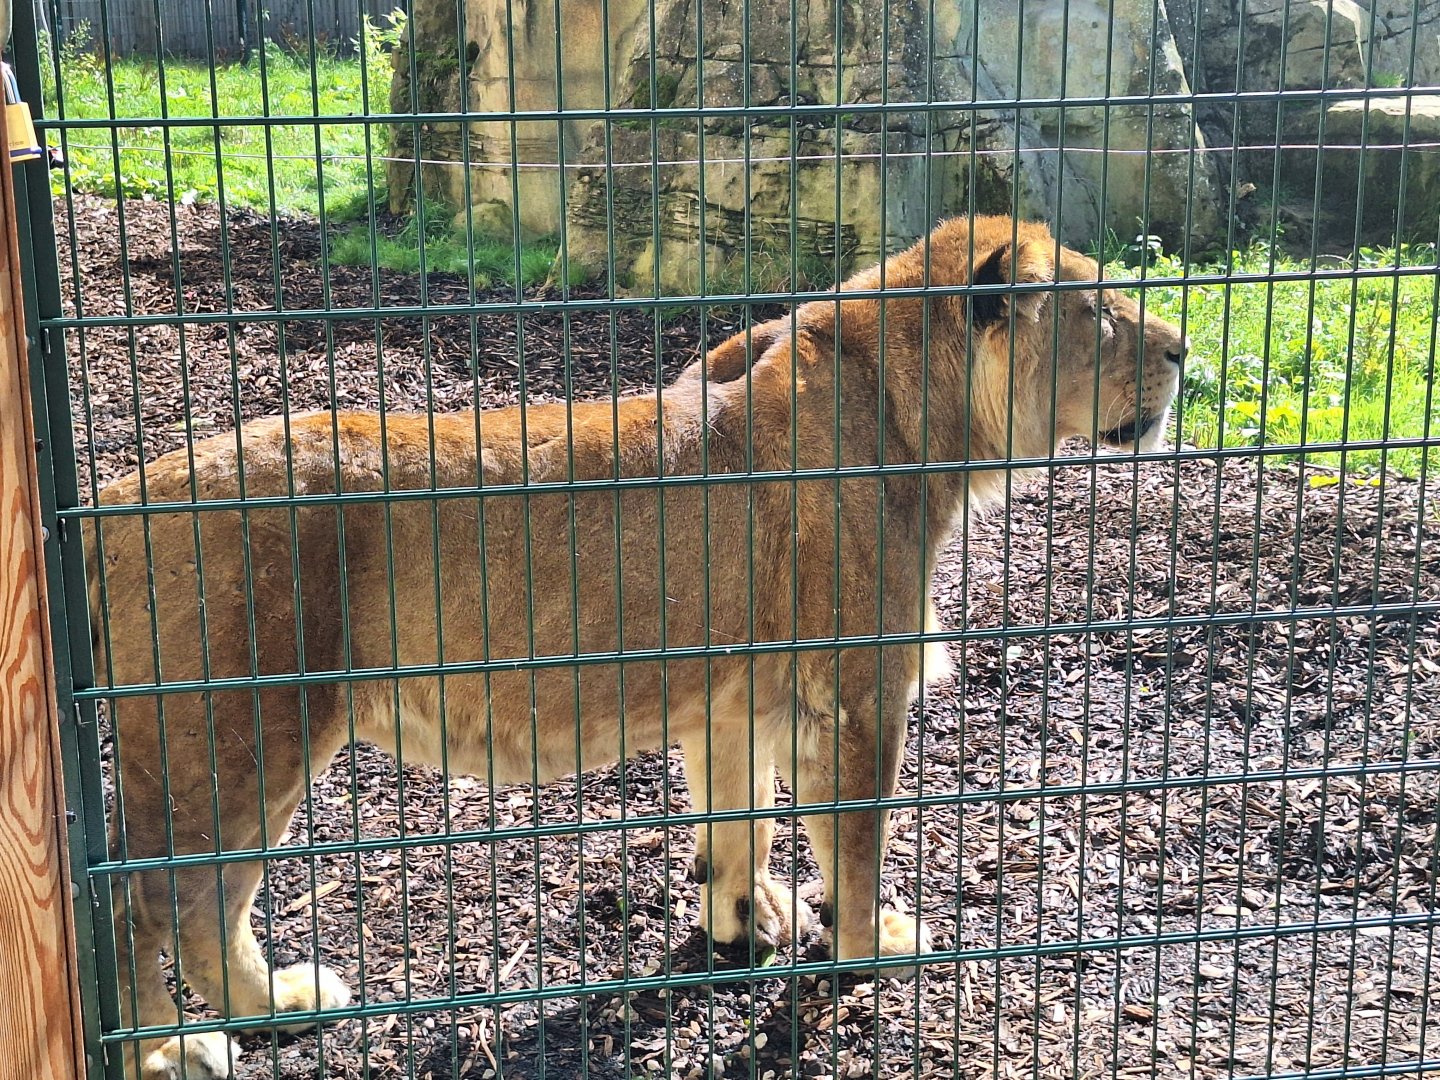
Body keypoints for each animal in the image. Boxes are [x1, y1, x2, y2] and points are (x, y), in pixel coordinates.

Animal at [87, 214, 1183, 1078]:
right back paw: (176, 1047)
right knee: (155, 909)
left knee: (190, 905)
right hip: (236, 741)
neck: (917, 421)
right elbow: (855, 843)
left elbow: (739, 822)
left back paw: (265, 1008)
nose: (1182, 352)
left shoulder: (733, 699)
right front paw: (873, 946)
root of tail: (113, 498)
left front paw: (741, 923)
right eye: (1101, 311)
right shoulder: (856, 696)